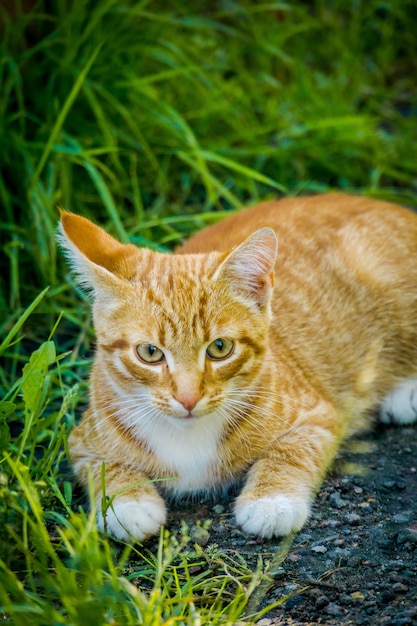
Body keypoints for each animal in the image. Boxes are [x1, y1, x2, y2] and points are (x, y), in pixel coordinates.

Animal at [60, 194, 416, 540]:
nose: (188, 399)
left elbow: (290, 450)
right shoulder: (82, 442)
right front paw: (128, 503)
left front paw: (271, 500)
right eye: (149, 352)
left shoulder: (318, 416)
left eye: (220, 348)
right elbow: (104, 467)